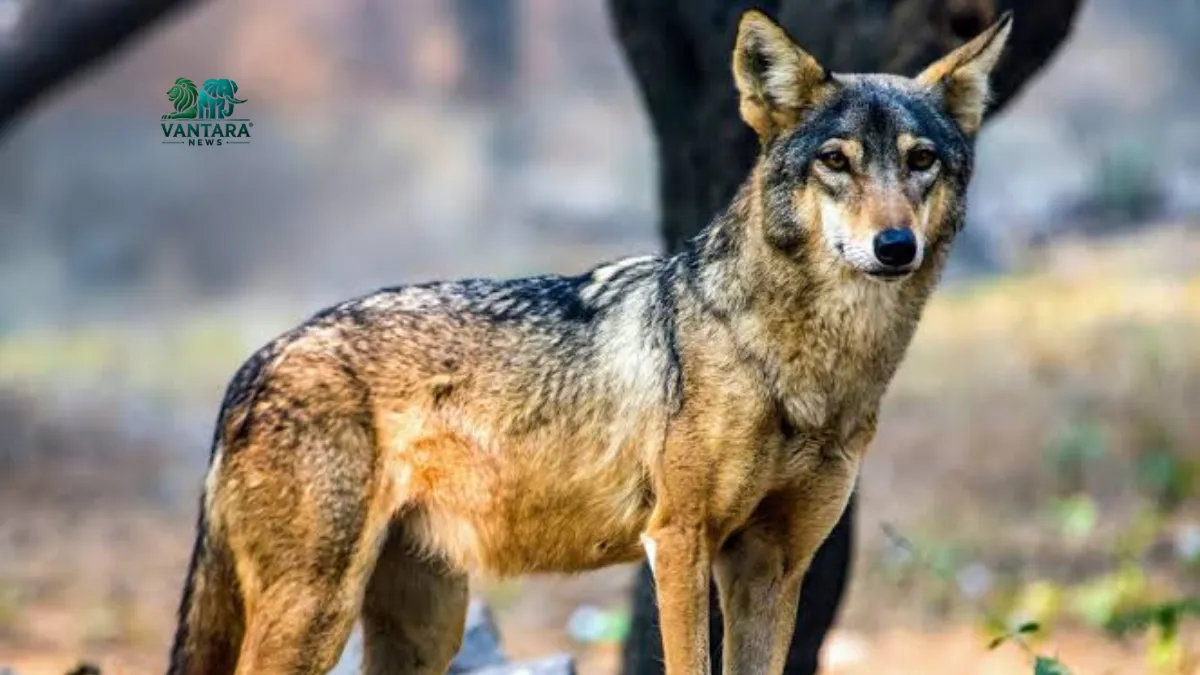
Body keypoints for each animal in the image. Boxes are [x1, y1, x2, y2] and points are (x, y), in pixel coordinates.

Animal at [166, 9, 1012, 675]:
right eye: (837, 161)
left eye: (920, 160)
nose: (895, 246)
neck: (801, 367)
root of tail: (259, 359)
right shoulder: (678, 542)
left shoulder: (772, 561)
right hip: (317, 610)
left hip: (424, 627)